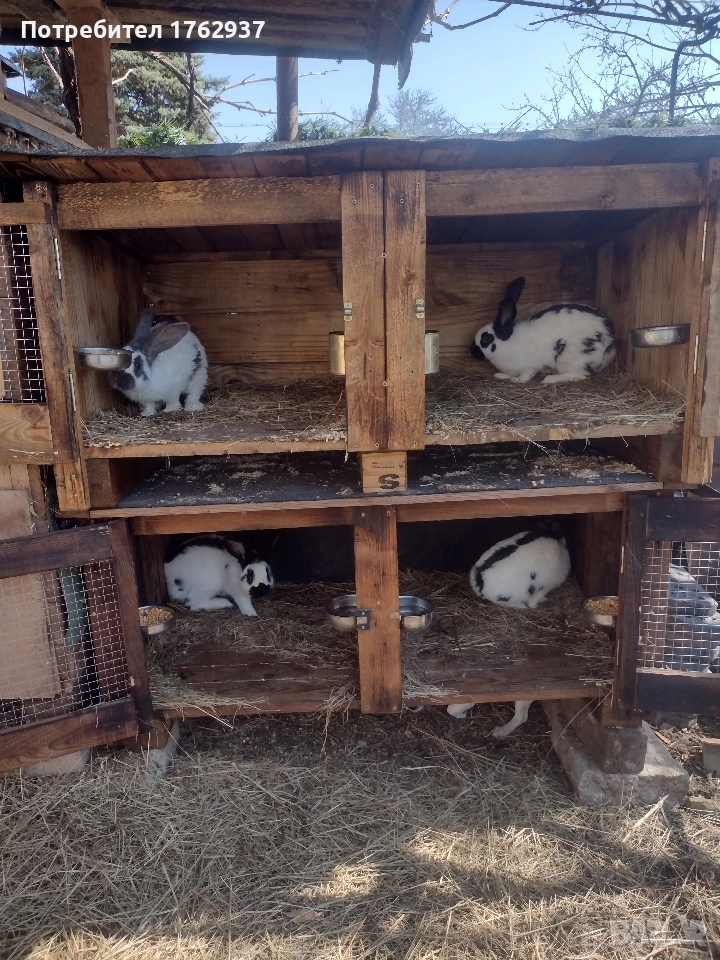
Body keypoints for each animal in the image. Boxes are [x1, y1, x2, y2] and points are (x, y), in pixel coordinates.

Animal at [470, 276, 616, 384]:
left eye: (486, 339)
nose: (472, 352)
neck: (506, 343)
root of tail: (609, 341)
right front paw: (500, 375)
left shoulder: (528, 366)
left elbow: (525, 377)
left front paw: (515, 380)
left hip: (569, 358)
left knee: (580, 374)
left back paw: (550, 379)